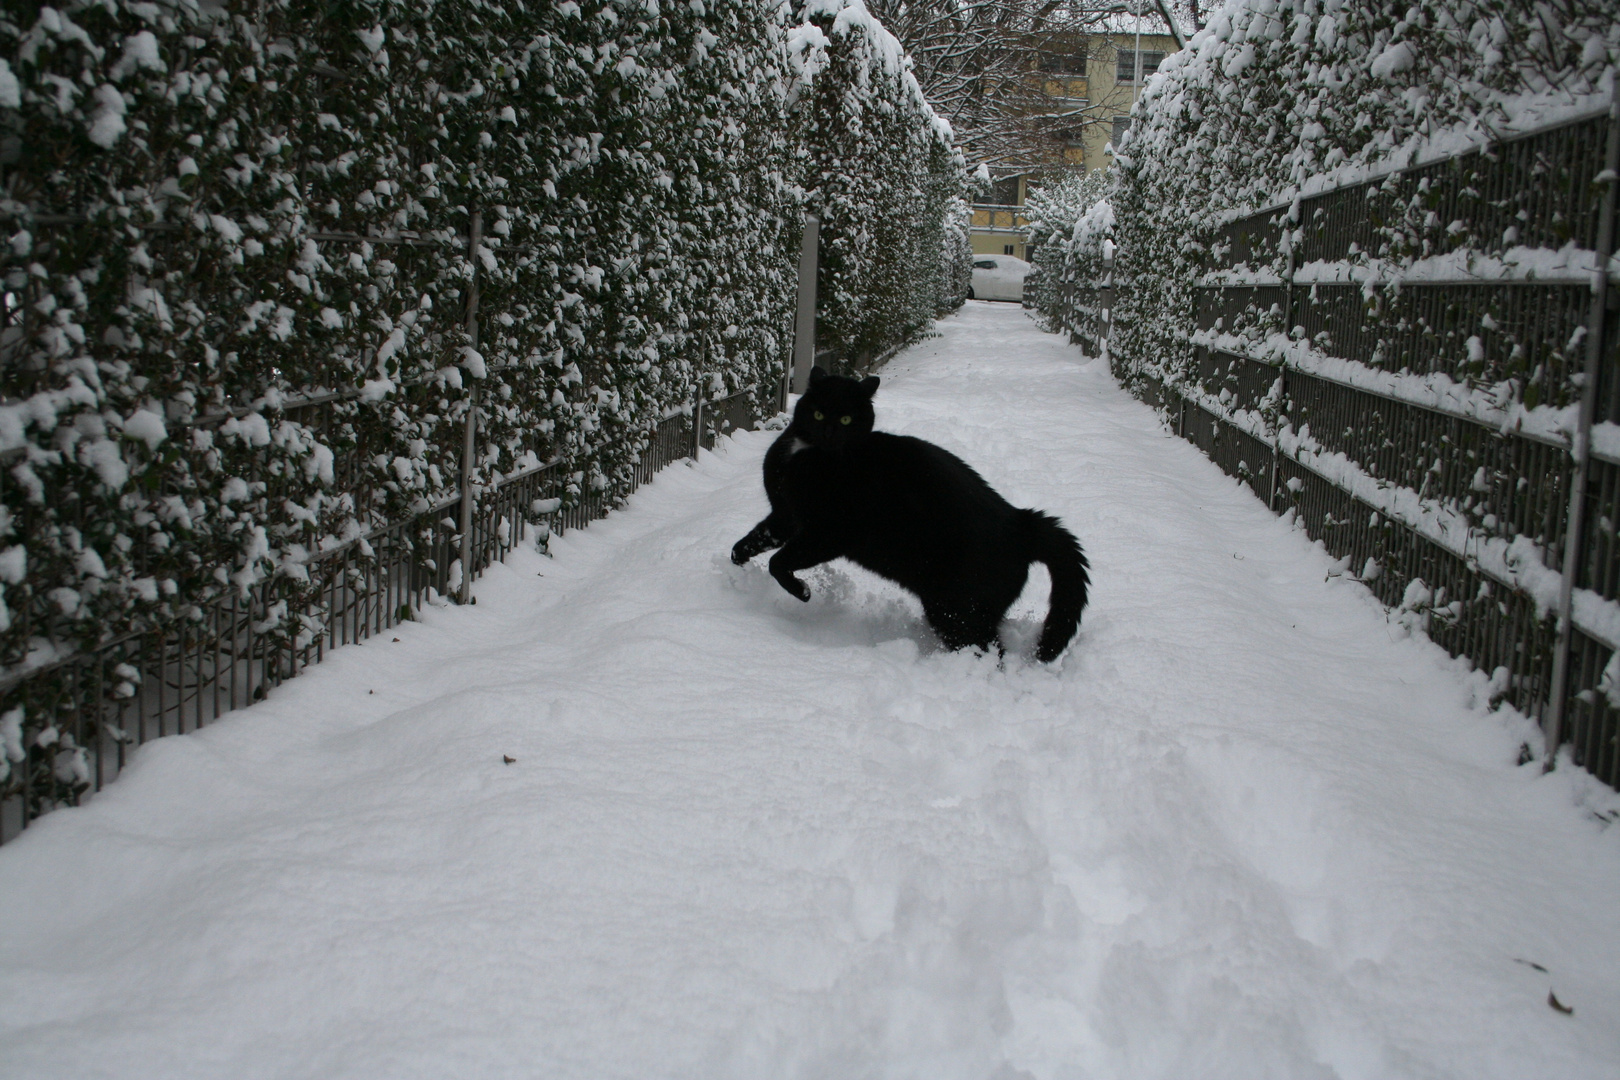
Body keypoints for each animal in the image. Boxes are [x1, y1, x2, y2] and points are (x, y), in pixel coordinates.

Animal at [732, 367, 1088, 663]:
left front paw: (802, 591)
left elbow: (779, 562)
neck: (805, 455)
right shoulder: (785, 517)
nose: (830, 433)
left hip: (956, 610)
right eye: (818, 413)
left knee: (989, 653)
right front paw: (737, 565)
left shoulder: (828, 533)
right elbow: (751, 542)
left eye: (847, 419)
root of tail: (1021, 523)